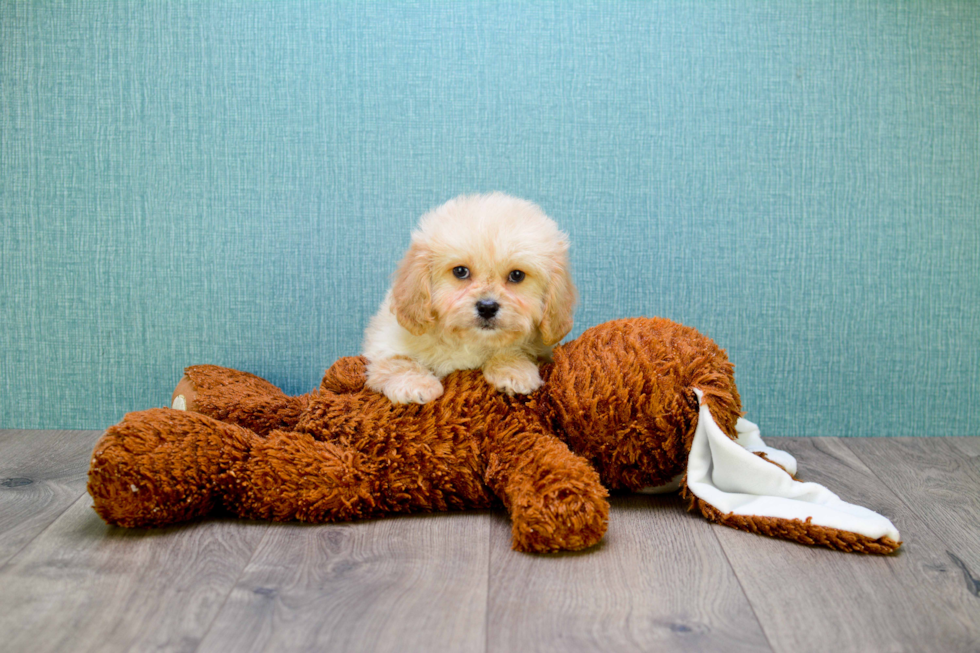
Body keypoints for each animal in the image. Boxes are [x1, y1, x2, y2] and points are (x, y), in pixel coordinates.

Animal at [364, 191, 580, 402]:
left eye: (517, 275)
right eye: (460, 271)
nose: (487, 307)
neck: (469, 342)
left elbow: (513, 350)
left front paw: (514, 371)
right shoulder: (382, 343)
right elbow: (397, 361)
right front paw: (416, 384)